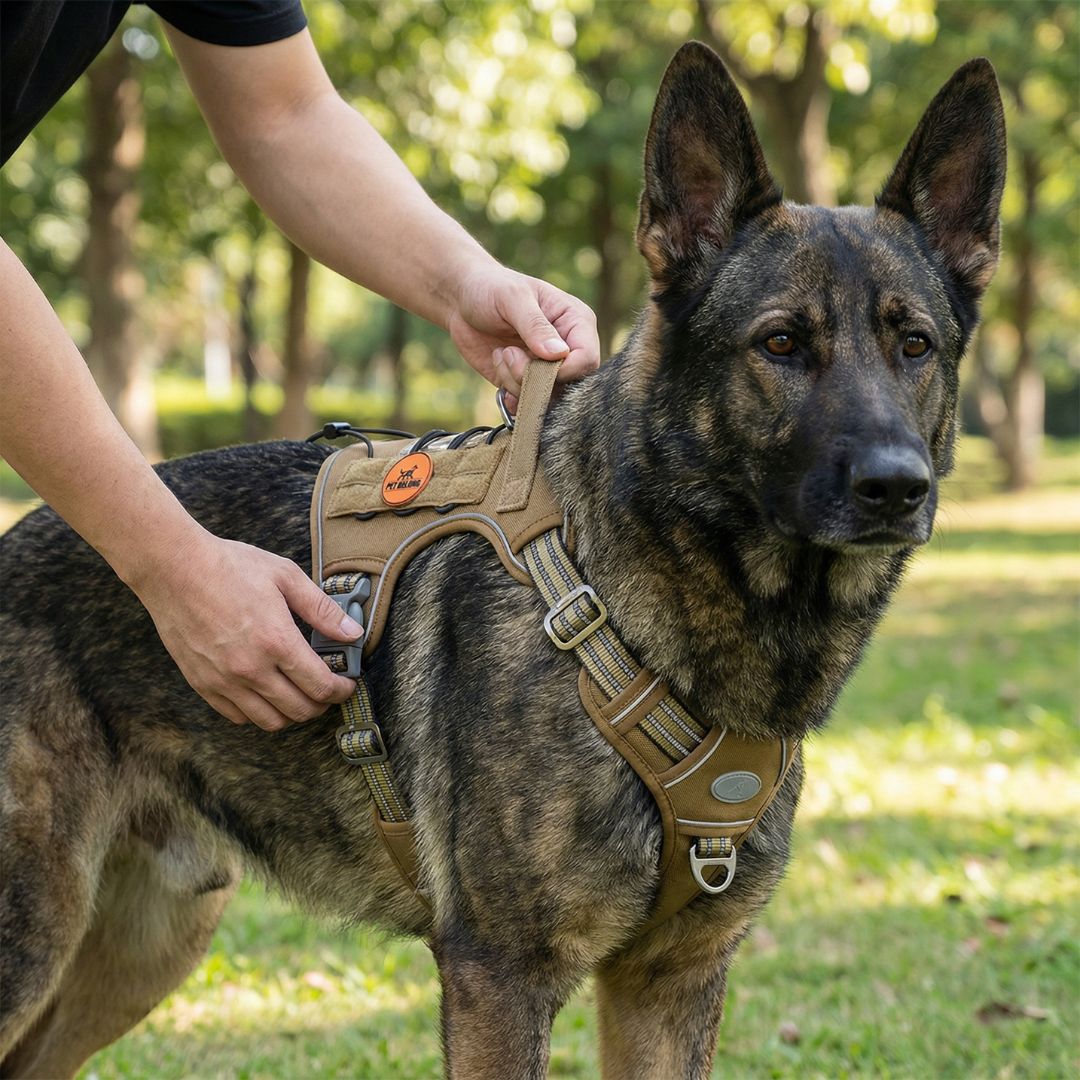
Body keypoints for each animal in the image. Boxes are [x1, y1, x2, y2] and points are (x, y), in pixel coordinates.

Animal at [0, 43, 1005, 1079]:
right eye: (780, 343)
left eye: (914, 344)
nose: (897, 487)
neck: (621, 597)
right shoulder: (500, 976)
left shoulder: (668, 982)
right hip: (34, 937)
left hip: (145, 940)